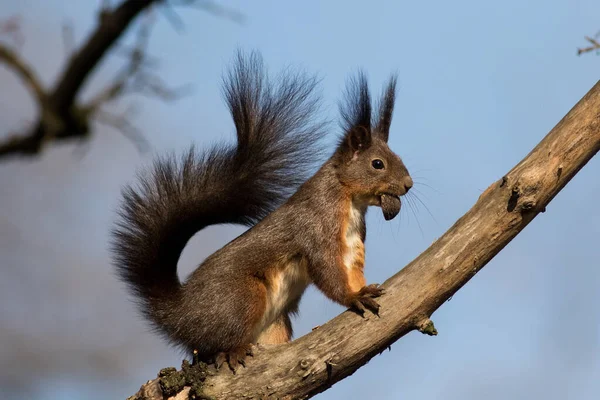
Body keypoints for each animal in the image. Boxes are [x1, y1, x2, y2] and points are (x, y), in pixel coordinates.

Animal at [111, 51, 412, 374]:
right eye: (378, 164)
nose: (409, 184)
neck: (350, 201)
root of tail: (180, 315)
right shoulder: (316, 225)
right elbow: (327, 270)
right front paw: (354, 296)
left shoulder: (354, 243)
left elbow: (352, 271)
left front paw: (364, 290)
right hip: (243, 296)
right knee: (219, 341)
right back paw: (233, 351)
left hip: (274, 324)